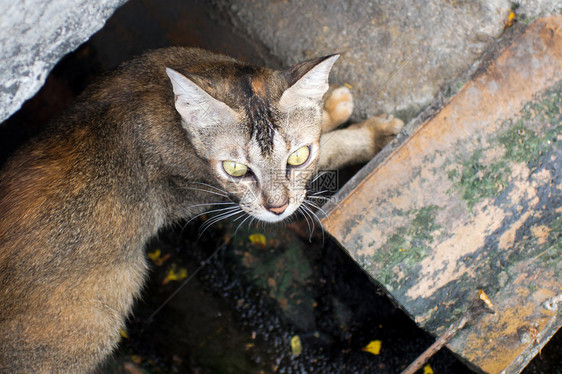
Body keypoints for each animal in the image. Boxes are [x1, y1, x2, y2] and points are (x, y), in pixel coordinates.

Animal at [0, 48, 402, 372]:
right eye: (235, 169)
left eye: (297, 156)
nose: (277, 208)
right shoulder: (212, 191)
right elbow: (332, 150)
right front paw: (371, 135)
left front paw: (328, 107)